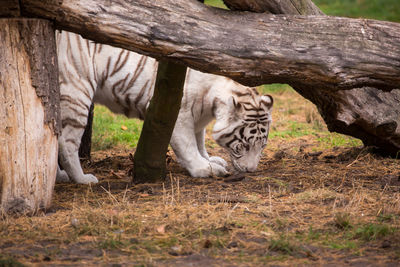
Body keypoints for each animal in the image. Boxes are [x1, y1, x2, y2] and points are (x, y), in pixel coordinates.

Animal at [56, 31, 274, 184]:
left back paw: (60, 176)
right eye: (243, 145)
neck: (211, 103)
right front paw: (205, 169)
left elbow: (200, 142)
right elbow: (189, 146)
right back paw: (82, 179)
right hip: (77, 91)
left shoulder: (199, 119)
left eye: (262, 146)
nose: (250, 171)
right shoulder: (181, 115)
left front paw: (210, 160)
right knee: (66, 143)